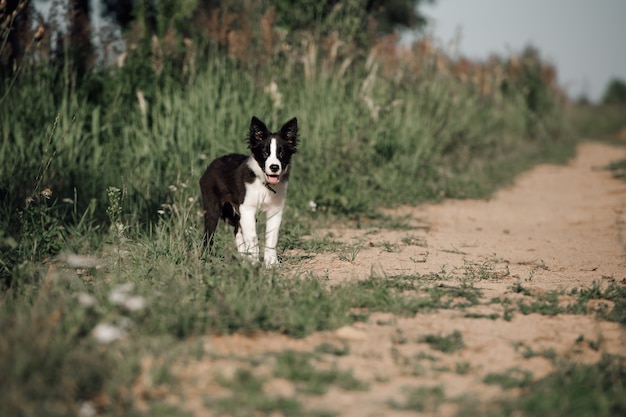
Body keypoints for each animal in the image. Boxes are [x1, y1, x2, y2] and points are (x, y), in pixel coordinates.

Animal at [200, 117, 298, 266]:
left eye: (281, 153)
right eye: (265, 153)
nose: (274, 167)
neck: (264, 184)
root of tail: (211, 165)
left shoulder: (275, 210)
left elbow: (271, 237)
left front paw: (271, 263)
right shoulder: (247, 208)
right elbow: (252, 237)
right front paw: (254, 263)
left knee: (238, 230)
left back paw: (243, 259)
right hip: (213, 208)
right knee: (208, 235)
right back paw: (207, 259)